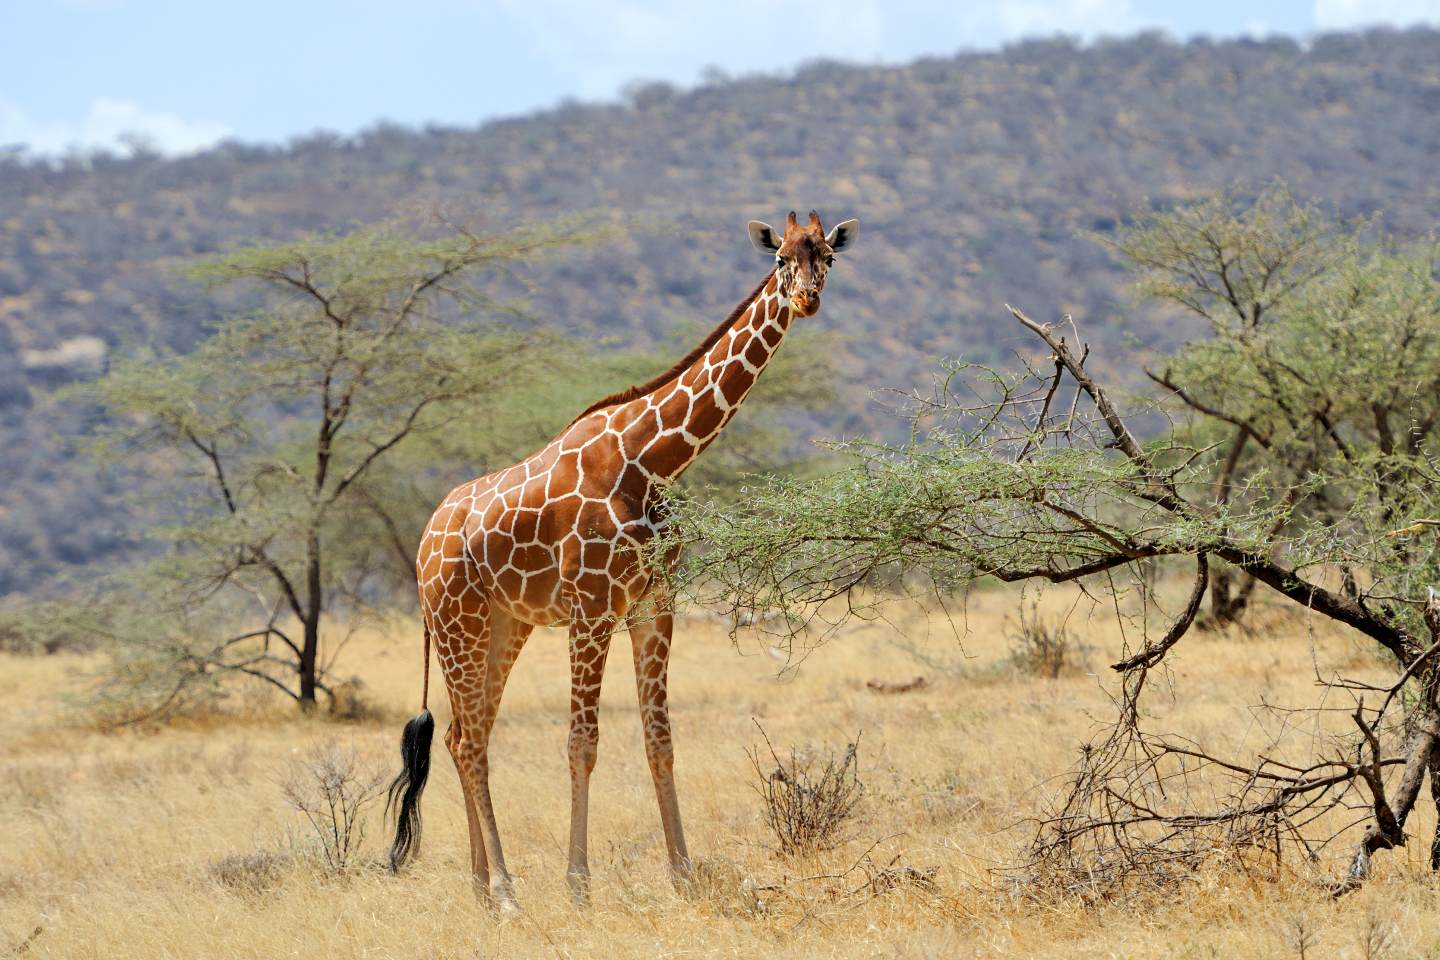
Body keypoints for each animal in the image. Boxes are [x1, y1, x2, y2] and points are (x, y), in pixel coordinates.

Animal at [386, 210, 860, 910]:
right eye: (779, 259)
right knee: (470, 741)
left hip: (504, 625)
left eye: (826, 254)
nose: (807, 299)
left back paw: (480, 888)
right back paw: (505, 890)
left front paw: (684, 874)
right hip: (457, 623)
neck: (654, 462)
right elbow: (582, 743)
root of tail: (424, 542)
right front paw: (579, 885)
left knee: (462, 735)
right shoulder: (591, 609)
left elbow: (659, 739)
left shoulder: (652, 604)